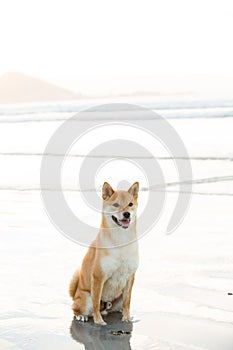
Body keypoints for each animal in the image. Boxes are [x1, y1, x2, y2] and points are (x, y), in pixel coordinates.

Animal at [68, 183, 139, 326]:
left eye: (130, 204)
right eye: (116, 205)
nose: (127, 214)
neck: (121, 240)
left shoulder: (130, 276)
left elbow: (127, 302)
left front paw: (127, 318)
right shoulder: (98, 277)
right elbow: (96, 303)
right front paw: (98, 321)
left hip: (118, 297)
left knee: (119, 306)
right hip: (86, 298)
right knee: (77, 309)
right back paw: (82, 316)